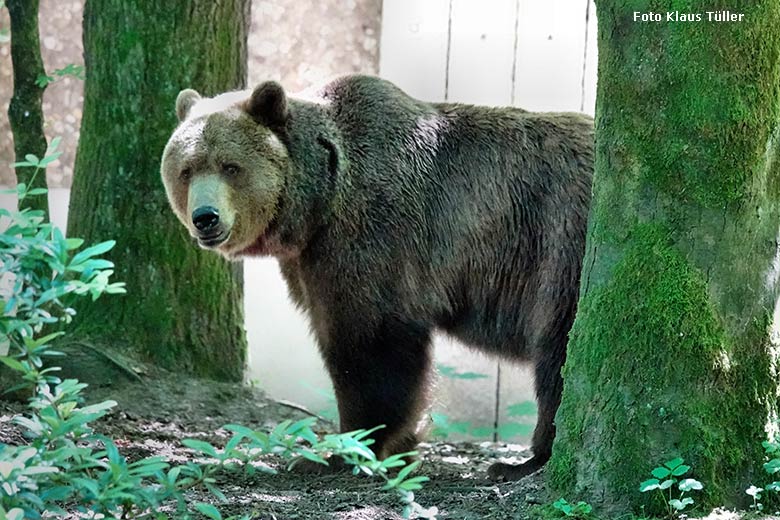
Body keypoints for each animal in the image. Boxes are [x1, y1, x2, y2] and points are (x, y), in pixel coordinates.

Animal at [161, 75, 596, 482]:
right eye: (186, 170)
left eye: (231, 166)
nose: (205, 217)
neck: (320, 202)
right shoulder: (310, 259)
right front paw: (400, 450)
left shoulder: (372, 236)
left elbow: (371, 346)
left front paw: (340, 452)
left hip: (564, 251)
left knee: (559, 356)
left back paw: (523, 461)